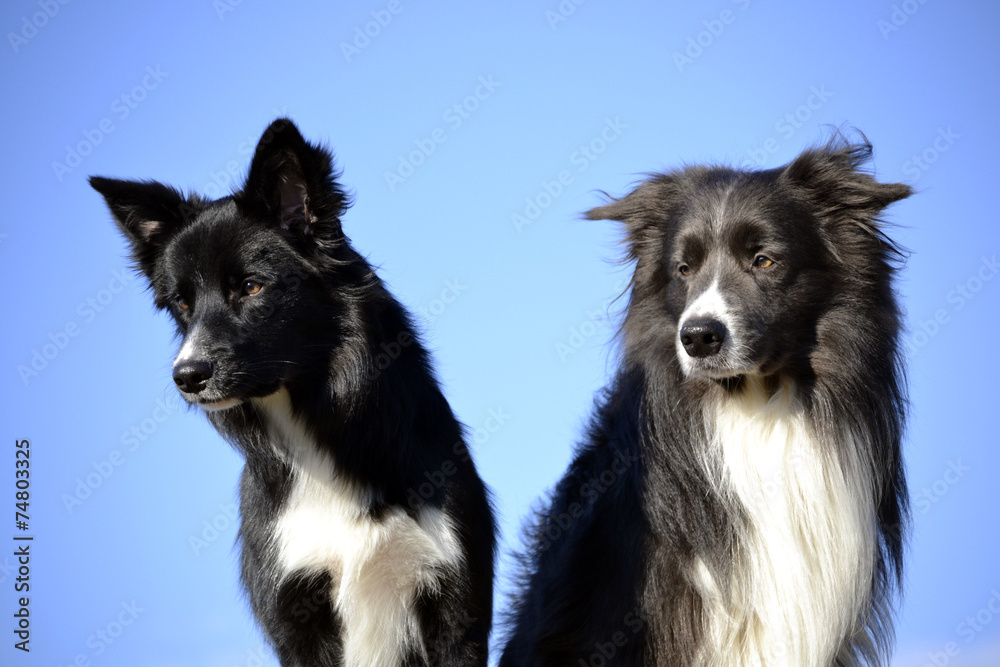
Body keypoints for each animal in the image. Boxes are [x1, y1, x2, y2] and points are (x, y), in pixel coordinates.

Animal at [93, 120, 496, 667]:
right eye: (182, 302)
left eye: (251, 287)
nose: (187, 375)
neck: (315, 430)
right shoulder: (293, 607)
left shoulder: (456, 604)